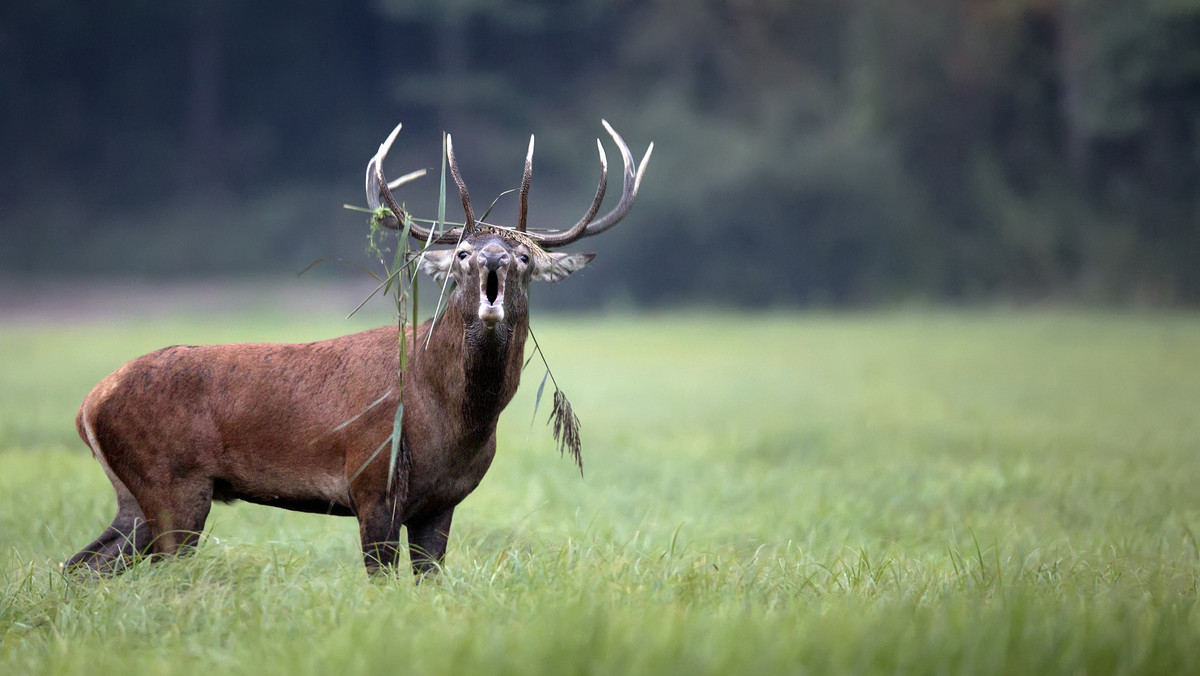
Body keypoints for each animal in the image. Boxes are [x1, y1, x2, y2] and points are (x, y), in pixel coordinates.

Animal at [62, 120, 652, 576]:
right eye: (462, 252)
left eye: (526, 256)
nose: (493, 258)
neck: (453, 419)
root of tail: (89, 403)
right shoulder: (371, 481)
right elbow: (381, 580)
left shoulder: (442, 503)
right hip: (173, 484)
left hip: (136, 497)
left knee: (82, 566)